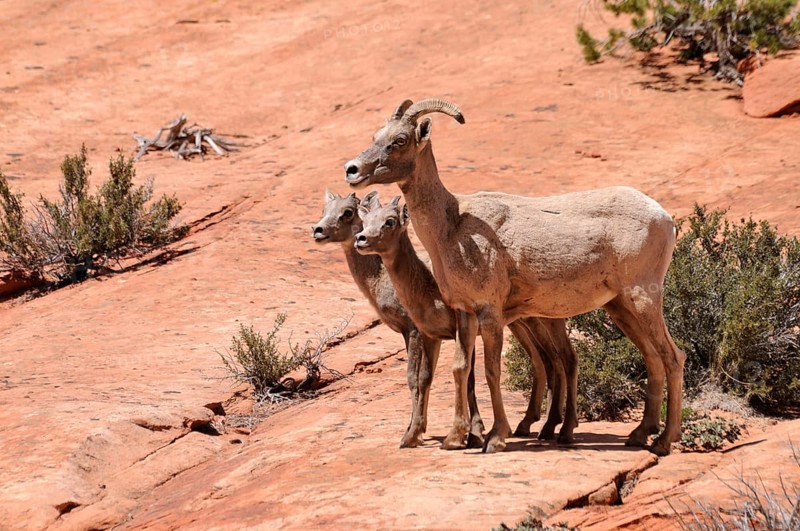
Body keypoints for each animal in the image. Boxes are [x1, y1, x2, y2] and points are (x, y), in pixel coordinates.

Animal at [343, 98, 686, 456]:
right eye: (376, 135)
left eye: (399, 140)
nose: (352, 169)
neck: (451, 226)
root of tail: (664, 218)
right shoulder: (465, 313)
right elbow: (461, 369)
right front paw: (454, 439)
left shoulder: (489, 312)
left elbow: (491, 371)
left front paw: (495, 438)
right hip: (620, 307)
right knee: (653, 359)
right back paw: (639, 434)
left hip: (643, 297)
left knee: (673, 357)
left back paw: (664, 441)